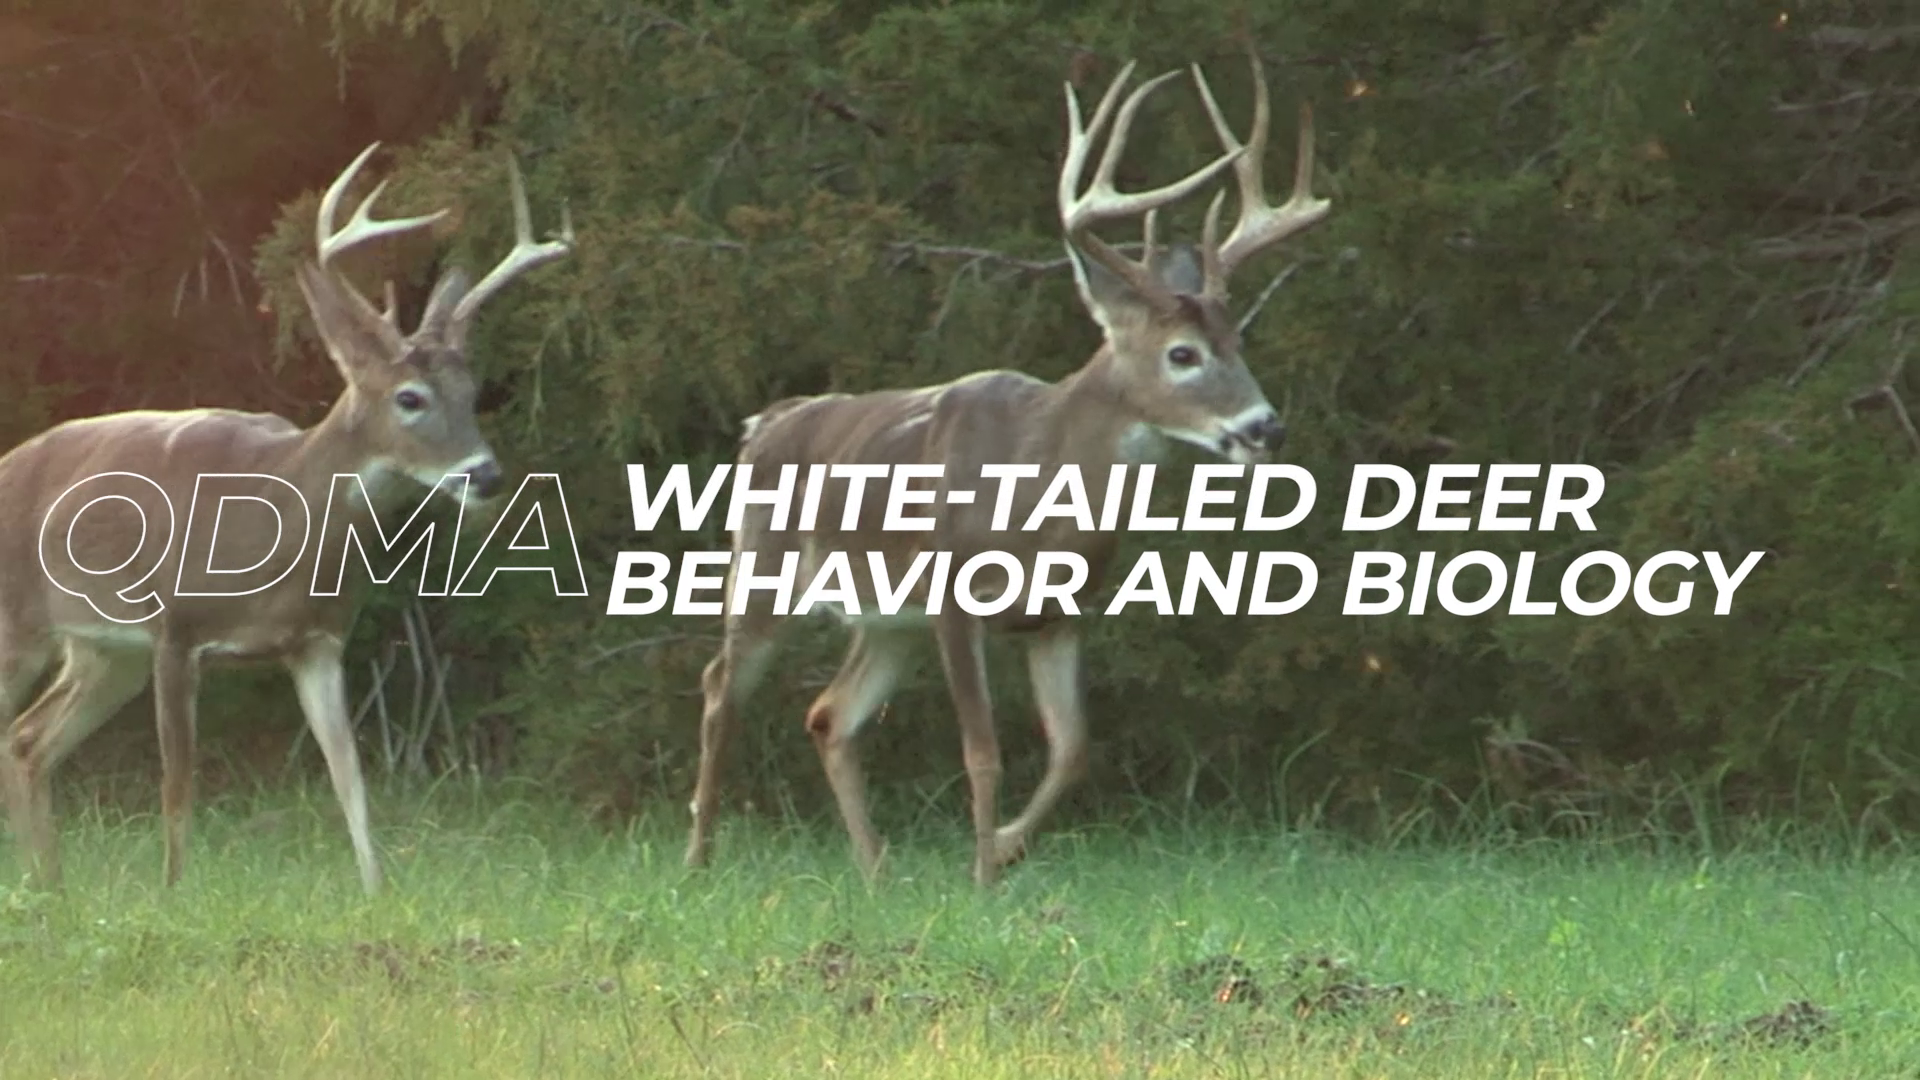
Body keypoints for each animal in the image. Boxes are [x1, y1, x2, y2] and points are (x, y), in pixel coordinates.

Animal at [0, 141, 573, 894]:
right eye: (410, 397)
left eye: (471, 391)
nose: (485, 475)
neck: (278, 522)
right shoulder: (174, 627)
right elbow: (177, 786)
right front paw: (174, 894)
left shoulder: (317, 642)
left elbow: (350, 779)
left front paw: (377, 893)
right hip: (24, 629)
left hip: (101, 653)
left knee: (28, 741)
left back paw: (50, 886)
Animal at [682, 46, 1331, 886]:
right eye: (1182, 355)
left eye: (1239, 342)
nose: (1266, 427)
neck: (1038, 487)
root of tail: (764, 422)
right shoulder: (955, 595)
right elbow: (984, 751)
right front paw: (984, 877)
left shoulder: (1060, 612)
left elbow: (1073, 749)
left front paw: (1006, 846)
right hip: (763, 567)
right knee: (720, 687)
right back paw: (699, 857)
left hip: (887, 620)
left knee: (830, 713)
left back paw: (875, 872)